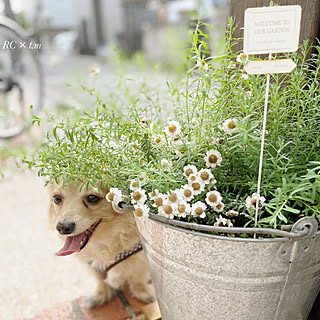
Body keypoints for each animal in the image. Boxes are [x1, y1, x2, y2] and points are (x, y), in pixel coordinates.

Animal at [48, 180, 156, 308]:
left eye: (92, 198)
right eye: (57, 198)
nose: (63, 227)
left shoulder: (142, 256)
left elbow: (137, 276)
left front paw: (143, 292)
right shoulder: (91, 263)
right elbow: (99, 277)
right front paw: (101, 295)